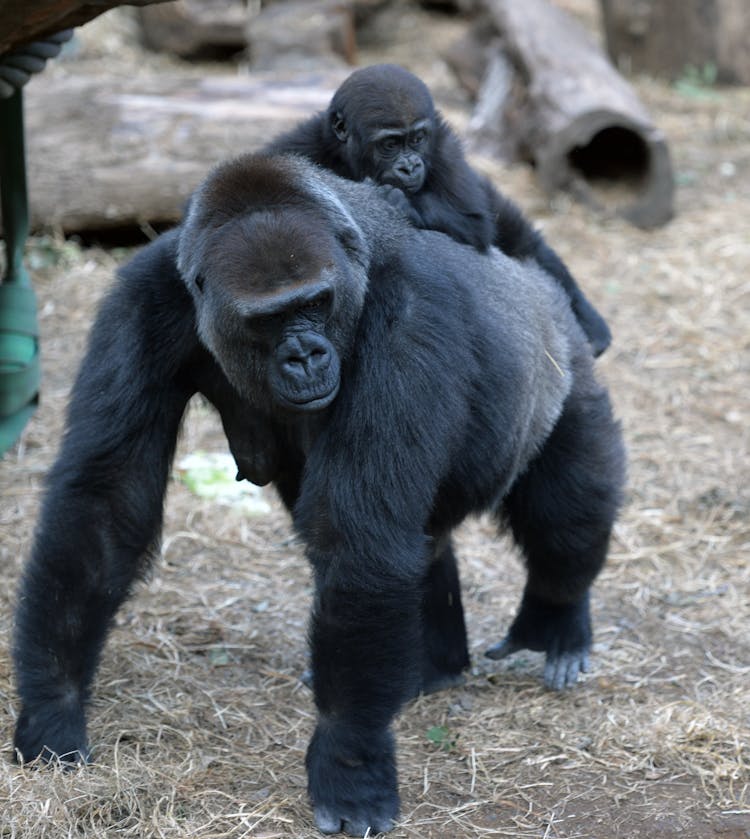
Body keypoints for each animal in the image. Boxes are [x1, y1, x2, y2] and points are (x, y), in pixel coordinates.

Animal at [13, 154, 628, 836]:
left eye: (315, 302)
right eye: (266, 319)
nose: (305, 355)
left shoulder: (410, 314)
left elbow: (359, 536)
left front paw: (348, 758)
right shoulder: (143, 301)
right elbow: (106, 499)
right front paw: (53, 705)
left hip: (565, 367)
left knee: (565, 512)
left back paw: (557, 617)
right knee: (424, 541)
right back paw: (435, 662)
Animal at [268, 62, 612, 356]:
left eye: (418, 139)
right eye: (390, 144)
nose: (410, 166)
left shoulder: (444, 148)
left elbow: (475, 224)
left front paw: (402, 203)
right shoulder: (294, 149)